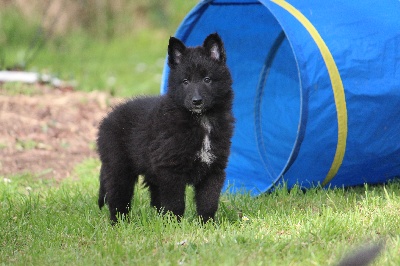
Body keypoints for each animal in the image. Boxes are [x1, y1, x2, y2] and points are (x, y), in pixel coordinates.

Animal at [97, 33, 234, 224]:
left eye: (207, 80)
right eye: (185, 81)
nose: (196, 101)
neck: (201, 120)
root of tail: (106, 119)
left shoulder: (213, 169)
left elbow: (208, 201)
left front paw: (207, 224)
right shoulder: (170, 169)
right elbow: (175, 203)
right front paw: (175, 225)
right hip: (119, 168)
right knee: (118, 199)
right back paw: (120, 223)